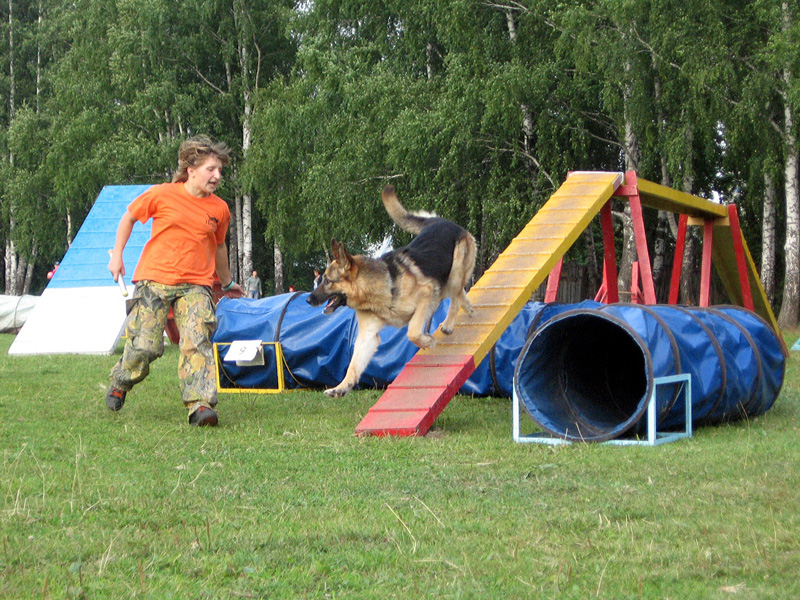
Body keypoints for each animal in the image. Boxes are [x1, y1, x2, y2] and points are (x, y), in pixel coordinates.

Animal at [306, 185, 476, 396]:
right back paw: (468, 308)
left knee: (456, 294)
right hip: (444, 284)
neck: (374, 292)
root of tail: (442, 221)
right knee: (460, 293)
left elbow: (413, 332)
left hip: (453, 275)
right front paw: (341, 388)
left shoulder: (426, 294)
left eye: (328, 281)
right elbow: (353, 365)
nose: (308, 300)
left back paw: (449, 324)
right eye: (321, 279)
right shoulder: (368, 335)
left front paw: (427, 341)